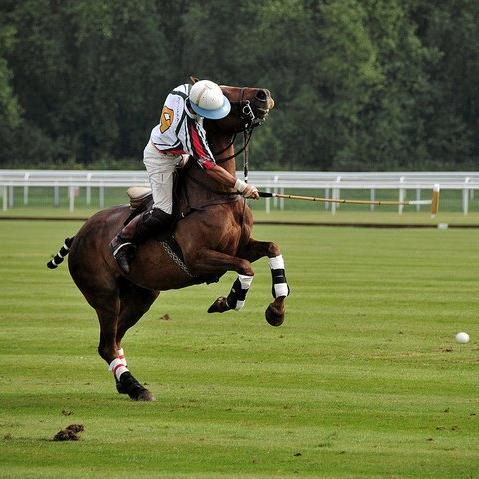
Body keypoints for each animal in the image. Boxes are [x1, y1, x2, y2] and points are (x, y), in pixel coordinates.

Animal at [48, 85, 290, 402]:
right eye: (226, 92)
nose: (264, 95)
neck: (215, 193)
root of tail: (78, 235)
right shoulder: (198, 257)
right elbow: (245, 267)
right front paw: (229, 300)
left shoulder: (240, 246)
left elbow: (272, 248)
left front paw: (275, 310)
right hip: (104, 296)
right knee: (107, 344)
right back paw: (136, 387)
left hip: (141, 295)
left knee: (115, 340)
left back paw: (127, 384)